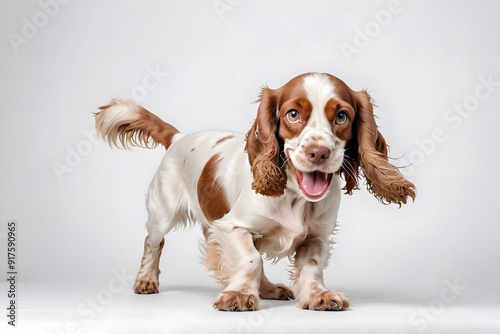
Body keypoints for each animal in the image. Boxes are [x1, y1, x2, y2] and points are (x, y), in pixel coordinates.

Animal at [94, 72, 414, 310]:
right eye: (293, 114)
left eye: (342, 117)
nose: (319, 153)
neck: (294, 196)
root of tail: (179, 138)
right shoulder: (234, 227)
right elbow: (250, 260)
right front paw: (238, 296)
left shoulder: (317, 237)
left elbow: (310, 267)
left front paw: (317, 295)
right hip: (163, 213)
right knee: (153, 242)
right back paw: (146, 280)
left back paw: (270, 289)